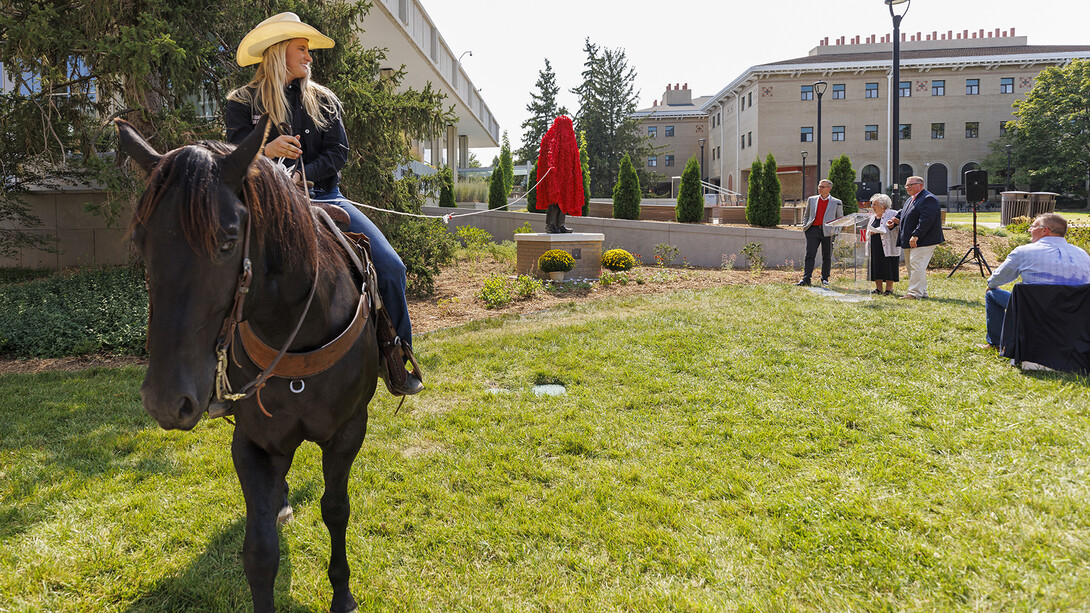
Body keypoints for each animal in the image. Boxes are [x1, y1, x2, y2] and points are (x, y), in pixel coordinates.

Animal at [118, 115, 379, 610]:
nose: (166, 401)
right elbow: (259, 554)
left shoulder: (348, 431)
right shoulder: (252, 443)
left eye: (226, 242)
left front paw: (343, 593)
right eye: (139, 240)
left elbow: (336, 510)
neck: (295, 334)